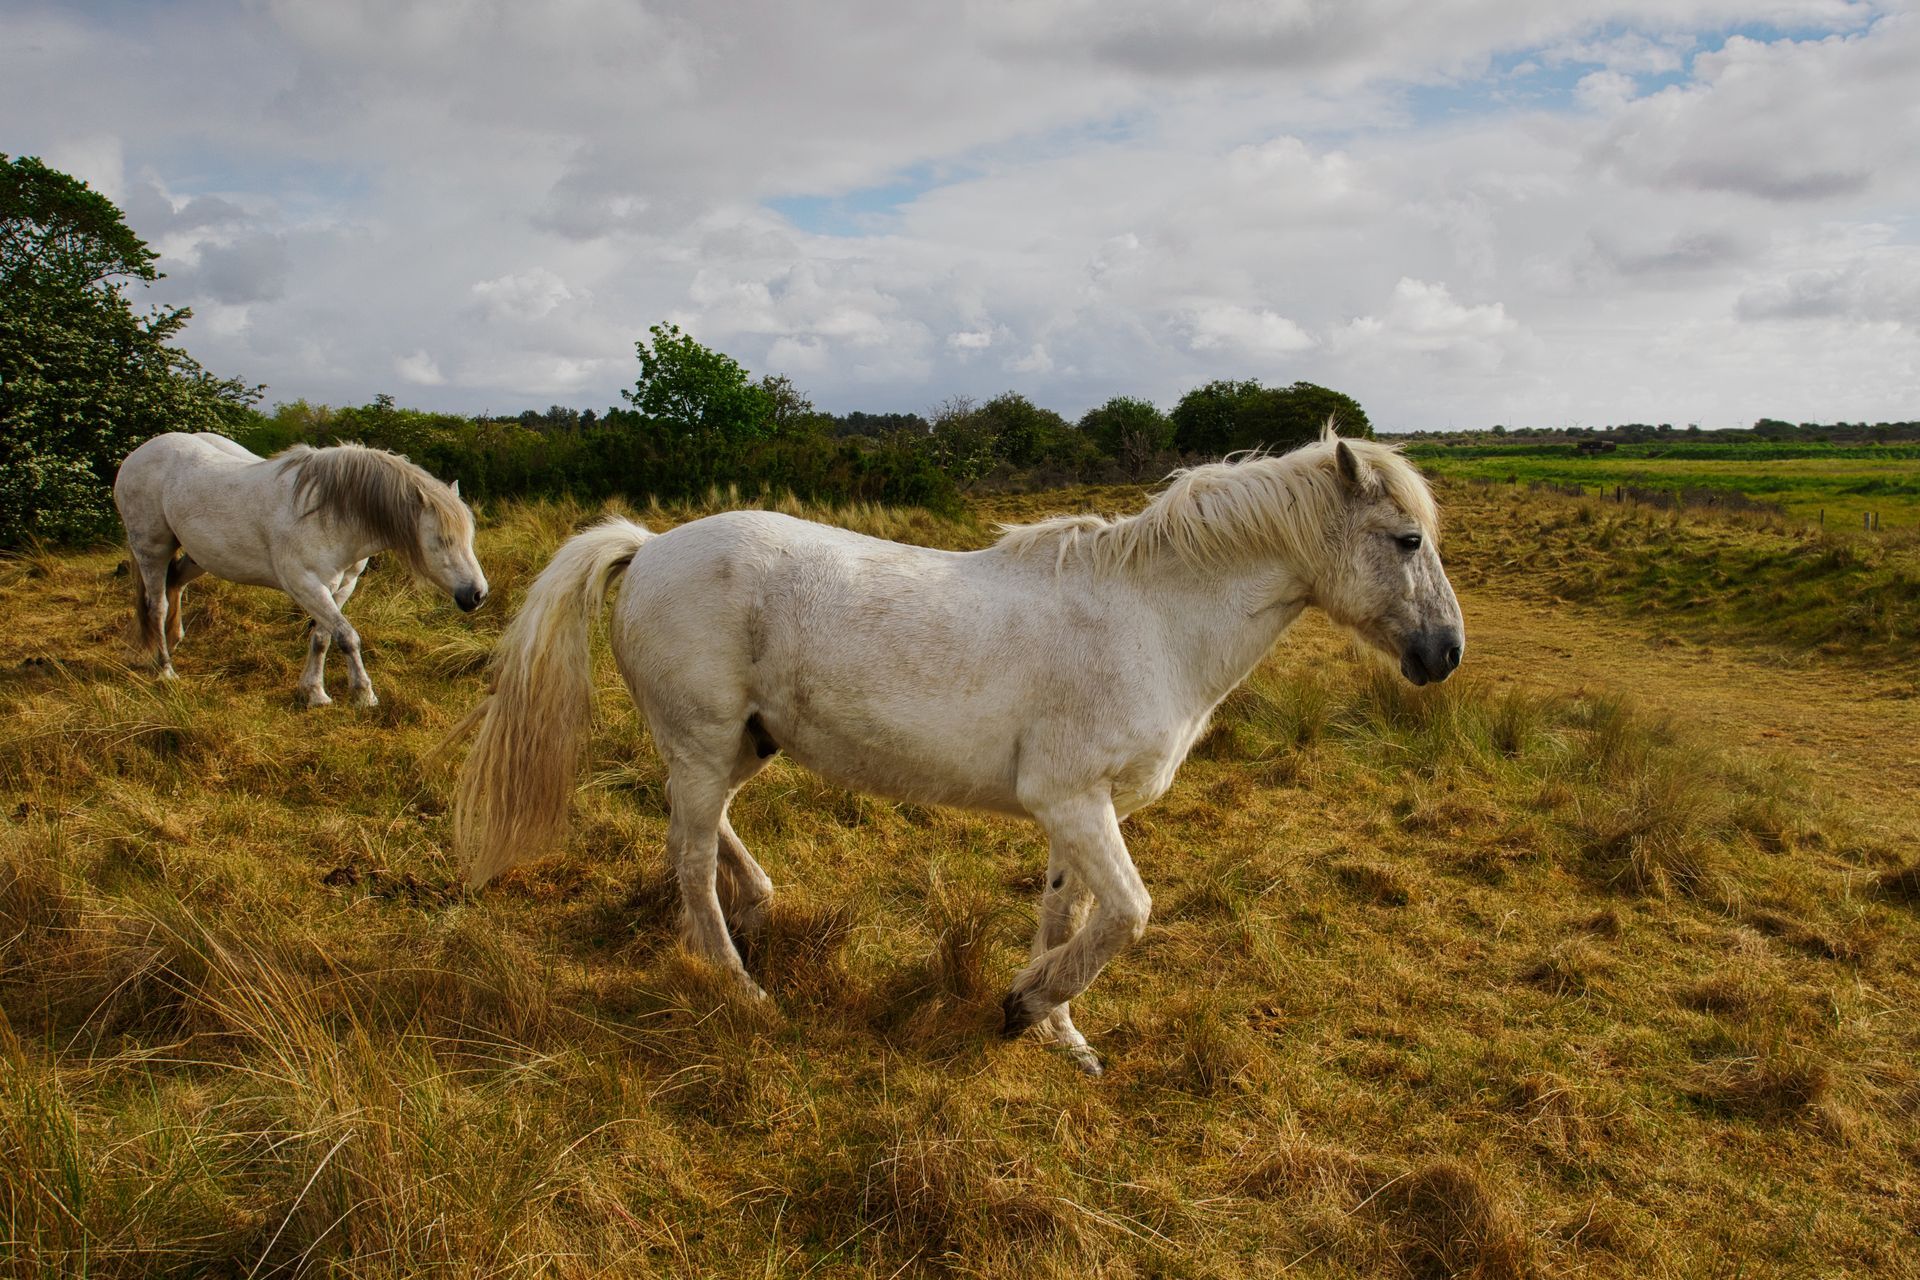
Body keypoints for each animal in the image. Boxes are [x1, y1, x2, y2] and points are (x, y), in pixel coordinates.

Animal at [113, 433, 489, 707]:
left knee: (174, 583)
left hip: (197, 556)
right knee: (156, 605)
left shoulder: (341, 586)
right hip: (151, 548)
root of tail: (137, 455)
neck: (332, 512)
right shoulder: (305, 583)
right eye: (441, 540)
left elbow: (323, 637)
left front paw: (314, 693)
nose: (477, 594)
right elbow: (347, 636)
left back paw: (173, 642)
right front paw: (363, 694)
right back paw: (165, 669)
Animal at [454, 427, 1462, 1074]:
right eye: (1406, 538)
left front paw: (1060, 1032)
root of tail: (652, 545)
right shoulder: (1074, 803)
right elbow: (1127, 915)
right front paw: (1025, 1009)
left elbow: (1067, 913)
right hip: (705, 745)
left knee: (704, 832)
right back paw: (741, 990)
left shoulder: (1079, 812)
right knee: (688, 860)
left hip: (742, 745)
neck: (1152, 619)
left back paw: (765, 906)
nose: (1444, 655)